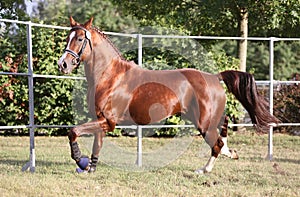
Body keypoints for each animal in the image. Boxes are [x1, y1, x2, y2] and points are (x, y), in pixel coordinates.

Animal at [57, 17, 278, 174]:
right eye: (67, 38)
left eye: (79, 39)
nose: (63, 64)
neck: (111, 76)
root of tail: (215, 77)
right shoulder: (101, 118)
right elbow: (97, 143)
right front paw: (90, 167)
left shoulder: (109, 121)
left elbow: (73, 131)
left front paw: (80, 160)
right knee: (221, 138)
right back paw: (228, 155)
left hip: (204, 122)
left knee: (217, 143)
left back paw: (204, 169)